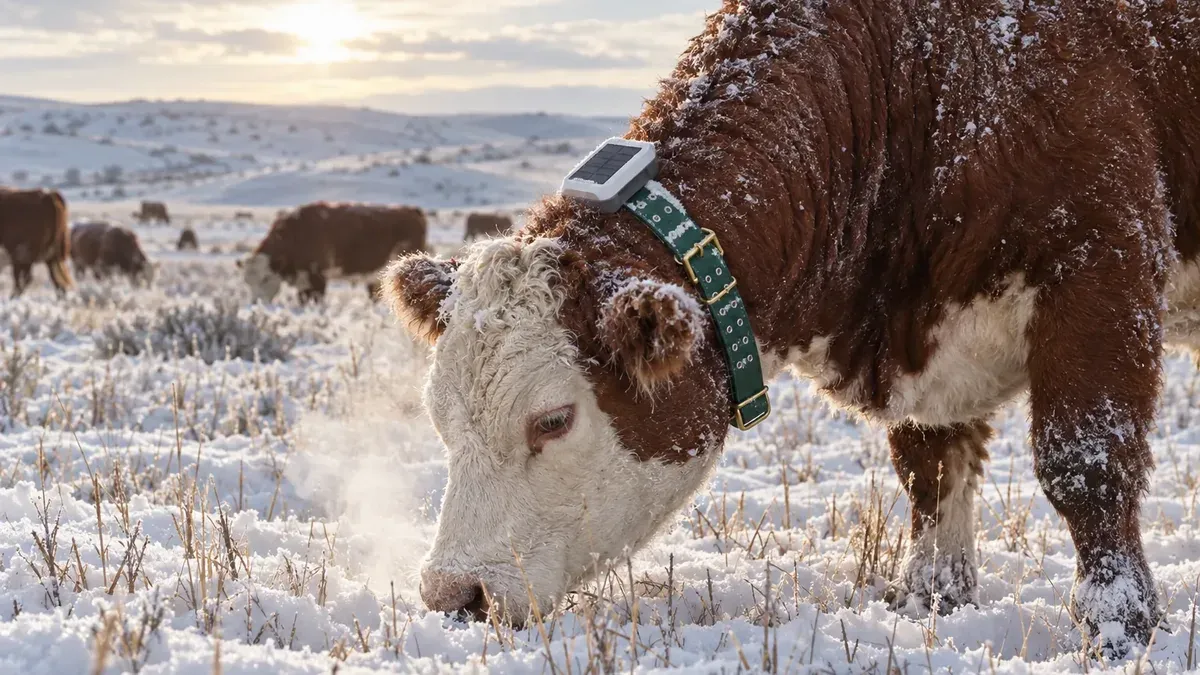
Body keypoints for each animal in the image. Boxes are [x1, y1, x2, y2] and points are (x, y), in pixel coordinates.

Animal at [240, 202, 427, 303]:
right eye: (247, 282)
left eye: (265, 278)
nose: (256, 302)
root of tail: (411, 210)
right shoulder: (303, 282)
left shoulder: (317, 279)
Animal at [382, 0, 1200, 659]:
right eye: (439, 420)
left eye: (553, 419)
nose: (455, 594)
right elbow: (930, 469)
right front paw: (931, 597)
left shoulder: (1102, 261)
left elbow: (1085, 462)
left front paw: (1120, 626)